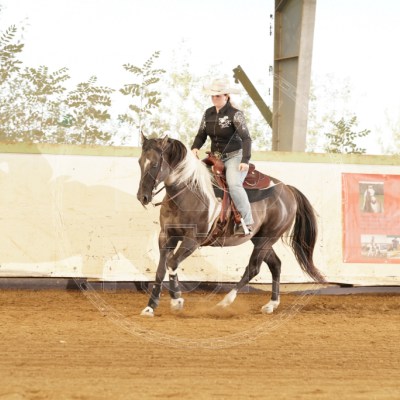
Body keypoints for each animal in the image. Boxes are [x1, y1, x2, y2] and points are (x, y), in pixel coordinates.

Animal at [136, 134, 325, 317]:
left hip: (268, 238)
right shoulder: (166, 236)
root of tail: (287, 189)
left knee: (253, 268)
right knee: (275, 264)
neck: (188, 192)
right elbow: (161, 269)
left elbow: (172, 263)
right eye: (140, 162)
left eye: (155, 164)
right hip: (260, 239)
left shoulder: (193, 240)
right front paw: (150, 307)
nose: (142, 197)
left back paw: (224, 303)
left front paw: (177, 301)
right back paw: (271, 304)